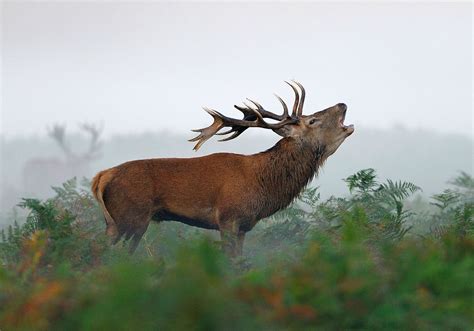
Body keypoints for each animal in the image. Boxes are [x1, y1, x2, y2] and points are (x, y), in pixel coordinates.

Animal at [91, 81, 352, 256]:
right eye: (312, 120)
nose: (342, 103)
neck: (263, 186)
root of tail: (101, 177)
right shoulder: (228, 217)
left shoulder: (244, 226)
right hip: (130, 217)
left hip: (118, 222)